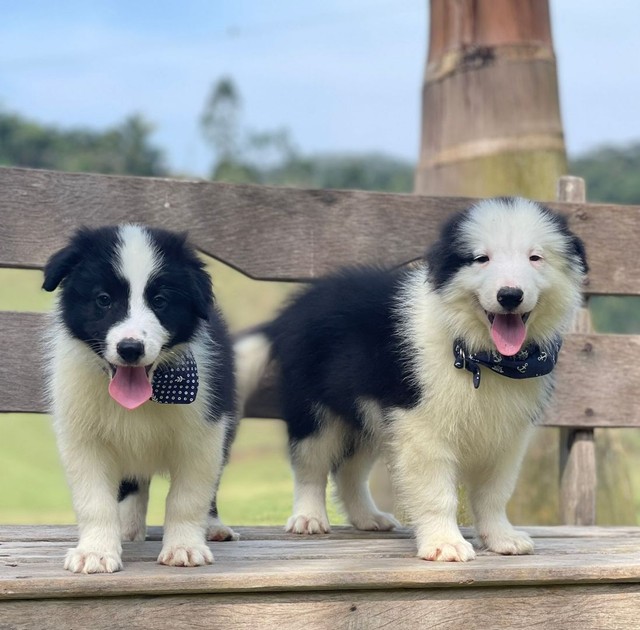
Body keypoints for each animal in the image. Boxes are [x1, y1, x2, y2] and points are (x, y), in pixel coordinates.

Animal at [43, 225, 238, 576]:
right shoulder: (83, 437)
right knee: (133, 484)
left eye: (160, 301)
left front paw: (185, 547)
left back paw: (214, 526)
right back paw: (128, 528)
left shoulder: (204, 433)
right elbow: (95, 501)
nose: (130, 348)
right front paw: (95, 551)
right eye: (103, 299)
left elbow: (188, 497)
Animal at [235, 198, 584, 564]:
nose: (510, 295)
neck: (480, 356)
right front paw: (445, 544)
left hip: (370, 414)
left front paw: (502, 538)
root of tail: (291, 312)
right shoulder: (421, 424)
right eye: (481, 258)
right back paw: (308, 517)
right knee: (310, 465)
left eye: (535, 257)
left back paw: (368, 517)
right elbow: (437, 492)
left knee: (349, 471)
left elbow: (494, 492)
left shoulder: (506, 434)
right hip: (314, 406)